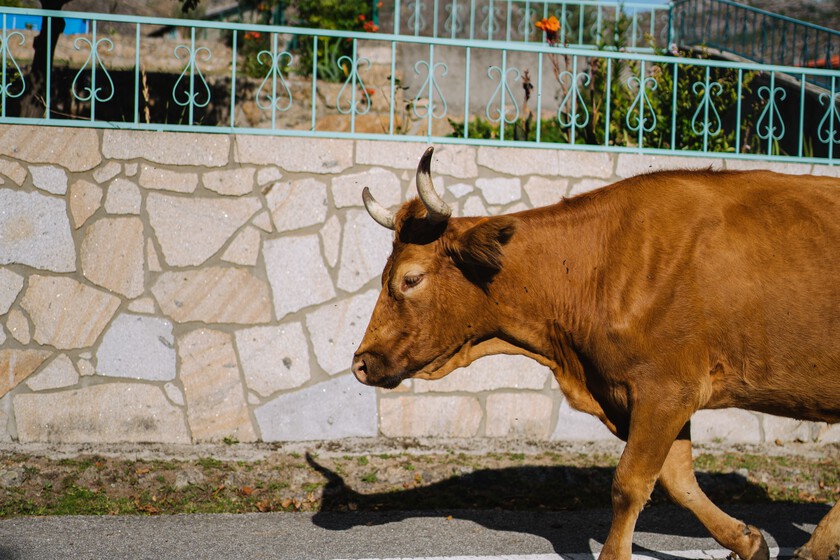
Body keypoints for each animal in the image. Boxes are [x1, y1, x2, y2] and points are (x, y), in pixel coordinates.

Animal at [352, 146, 840, 560]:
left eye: (411, 278)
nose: (360, 363)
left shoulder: (667, 390)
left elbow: (630, 483)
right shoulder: (652, 395)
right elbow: (677, 480)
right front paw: (749, 542)